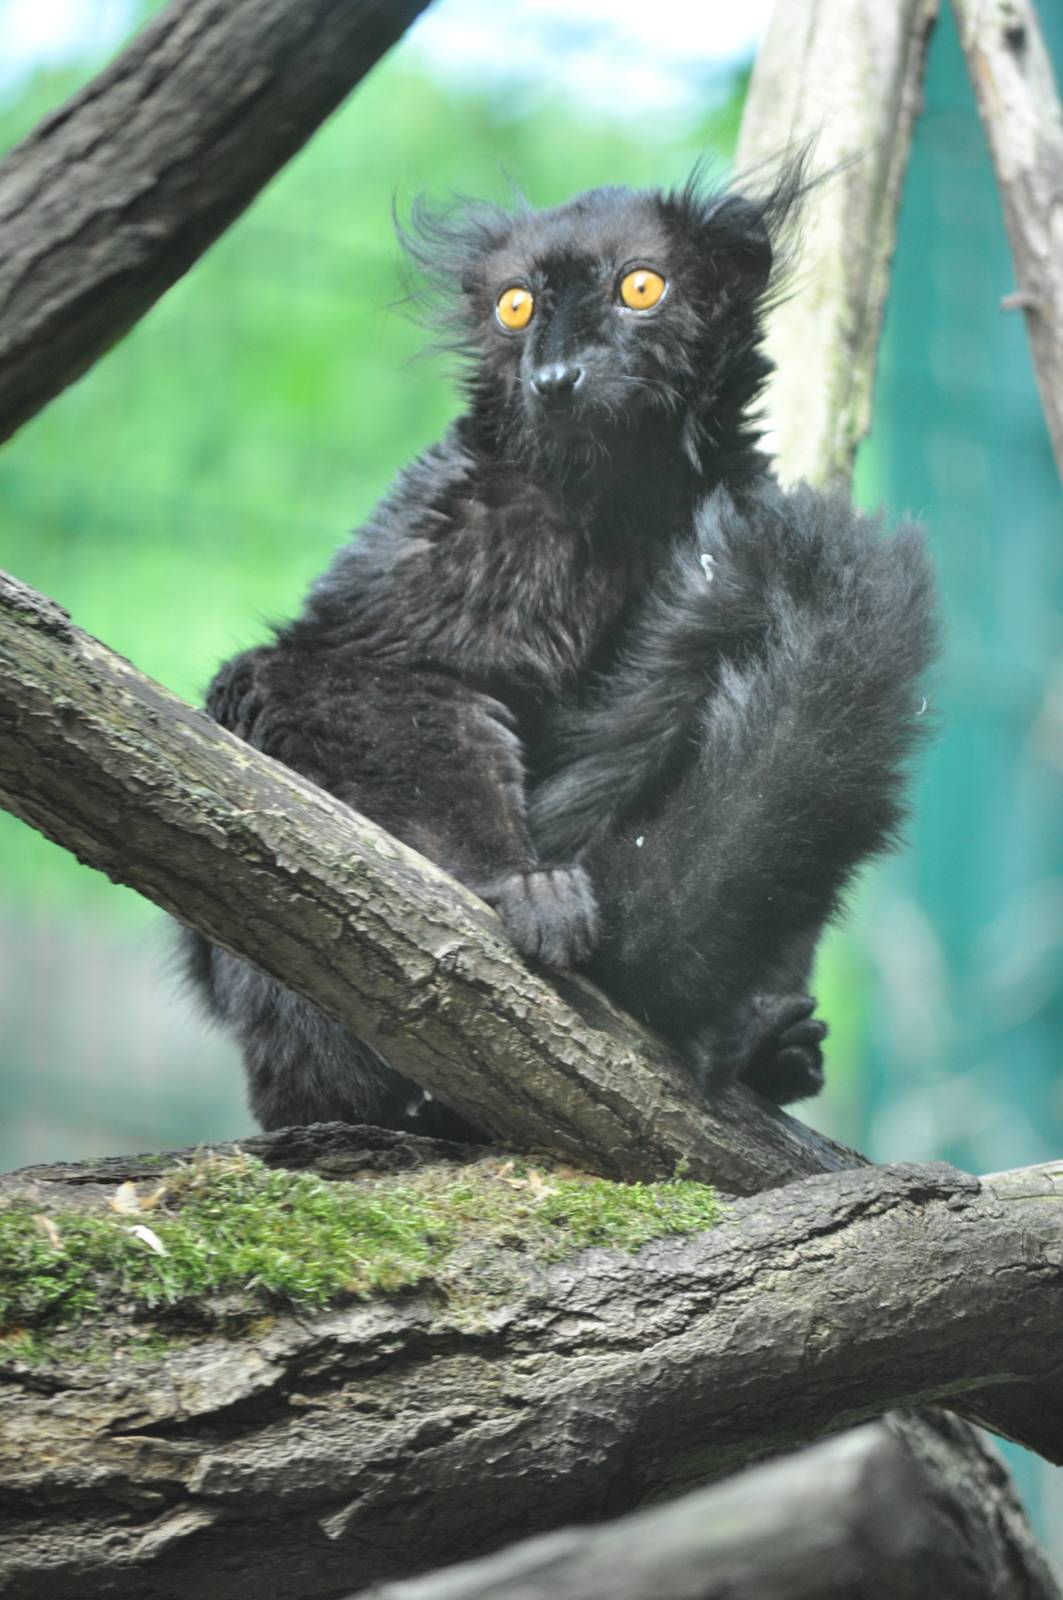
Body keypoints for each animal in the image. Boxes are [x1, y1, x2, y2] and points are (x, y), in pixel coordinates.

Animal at [182, 163, 937, 1141]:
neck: (616, 495)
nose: (556, 376)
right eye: (515, 306)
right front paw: (516, 884)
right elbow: (340, 671)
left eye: (640, 288)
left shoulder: (738, 501)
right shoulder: (466, 520)